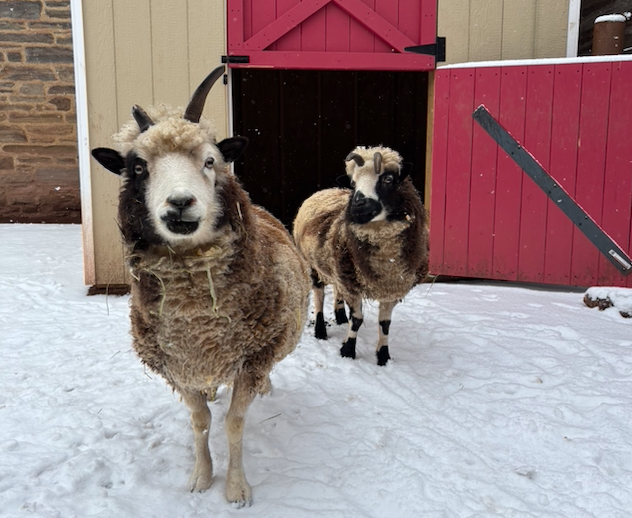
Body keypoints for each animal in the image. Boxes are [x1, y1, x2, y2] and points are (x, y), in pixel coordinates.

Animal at [292, 146, 430, 366]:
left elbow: (385, 324)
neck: (387, 262)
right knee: (319, 296)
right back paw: (321, 330)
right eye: (353, 183)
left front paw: (383, 357)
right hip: (313, 265)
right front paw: (348, 350)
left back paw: (340, 316)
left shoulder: (391, 287)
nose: (357, 206)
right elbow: (357, 320)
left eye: (388, 179)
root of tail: (324, 190)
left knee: (337, 290)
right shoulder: (353, 285)